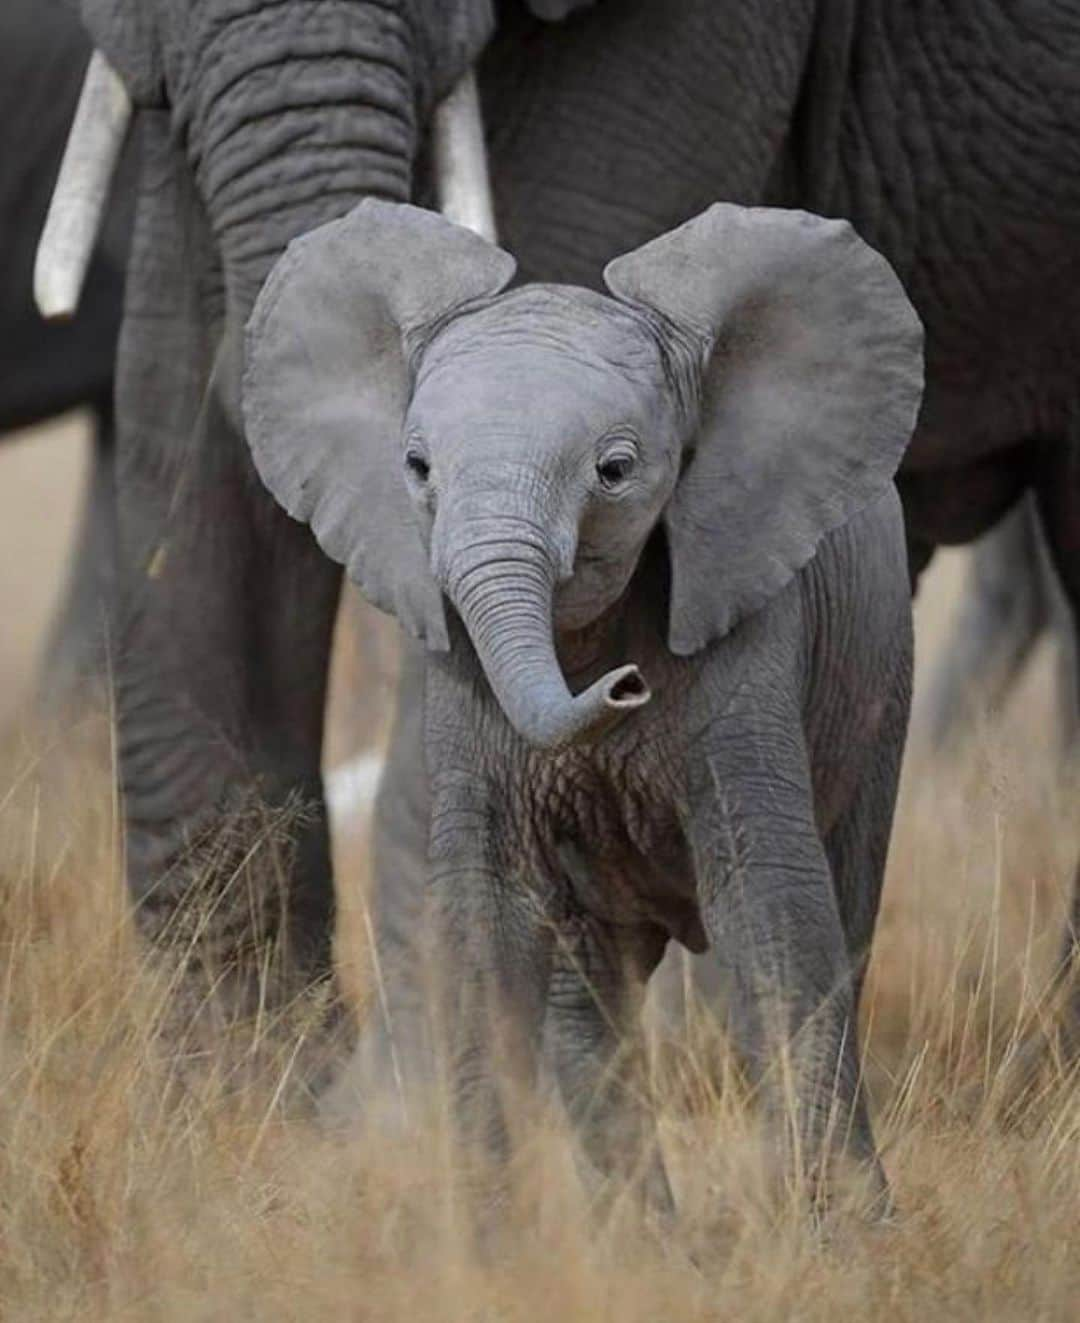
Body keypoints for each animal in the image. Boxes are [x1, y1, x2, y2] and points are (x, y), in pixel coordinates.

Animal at [240, 198, 926, 1217]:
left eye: (615, 469)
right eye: (416, 466)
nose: (625, 684)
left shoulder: (749, 624)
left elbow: (772, 911)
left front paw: (840, 1235)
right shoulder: (461, 685)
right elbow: (482, 924)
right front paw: (485, 1241)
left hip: (880, 684)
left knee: (845, 903)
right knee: (590, 994)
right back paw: (638, 1237)